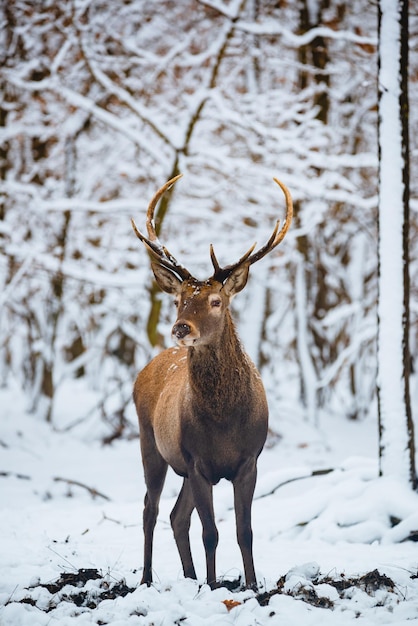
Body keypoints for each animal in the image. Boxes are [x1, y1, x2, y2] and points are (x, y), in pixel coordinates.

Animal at [132, 173, 292, 588]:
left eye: (216, 301)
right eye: (178, 301)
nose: (181, 328)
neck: (223, 423)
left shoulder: (249, 461)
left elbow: (243, 531)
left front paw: (251, 585)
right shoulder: (198, 462)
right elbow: (211, 532)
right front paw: (215, 585)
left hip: (180, 465)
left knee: (176, 516)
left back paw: (189, 577)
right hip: (150, 442)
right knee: (151, 508)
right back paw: (147, 578)